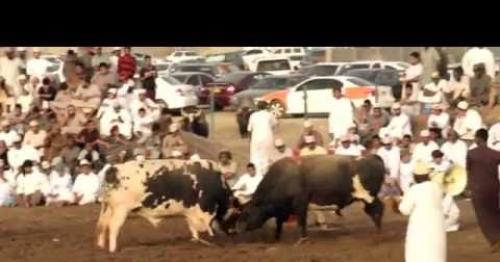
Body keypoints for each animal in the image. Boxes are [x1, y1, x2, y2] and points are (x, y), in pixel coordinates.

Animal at [96, 159, 233, 253]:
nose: (231, 233)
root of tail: (114, 169)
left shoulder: (190, 212)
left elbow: (193, 227)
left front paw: (196, 240)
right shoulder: (204, 210)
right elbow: (207, 226)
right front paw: (211, 238)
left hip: (110, 208)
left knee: (103, 224)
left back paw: (101, 246)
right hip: (121, 209)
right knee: (113, 226)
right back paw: (113, 249)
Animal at [236, 155, 384, 243]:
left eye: (247, 213)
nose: (238, 229)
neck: (283, 178)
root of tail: (372, 157)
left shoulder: (300, 204)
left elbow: (301, 222)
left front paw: (302, 239)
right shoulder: (283, 209)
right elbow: (279, 223)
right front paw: (277, 238)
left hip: (368, 196)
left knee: (377, 210)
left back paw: (378, 232)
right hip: (369, 198)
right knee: (375, 210)